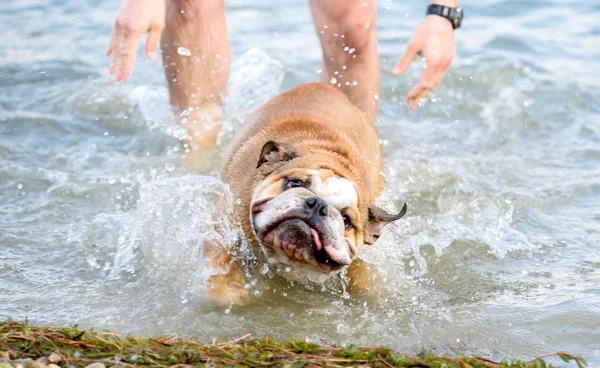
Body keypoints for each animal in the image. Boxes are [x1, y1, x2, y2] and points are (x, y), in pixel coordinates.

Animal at [204, 82, 406, 304]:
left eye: (346, 220)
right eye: (294, 183)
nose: (317, 205)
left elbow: (363, 274)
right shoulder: (220, 224)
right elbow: (222, 263)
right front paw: (231, 295)